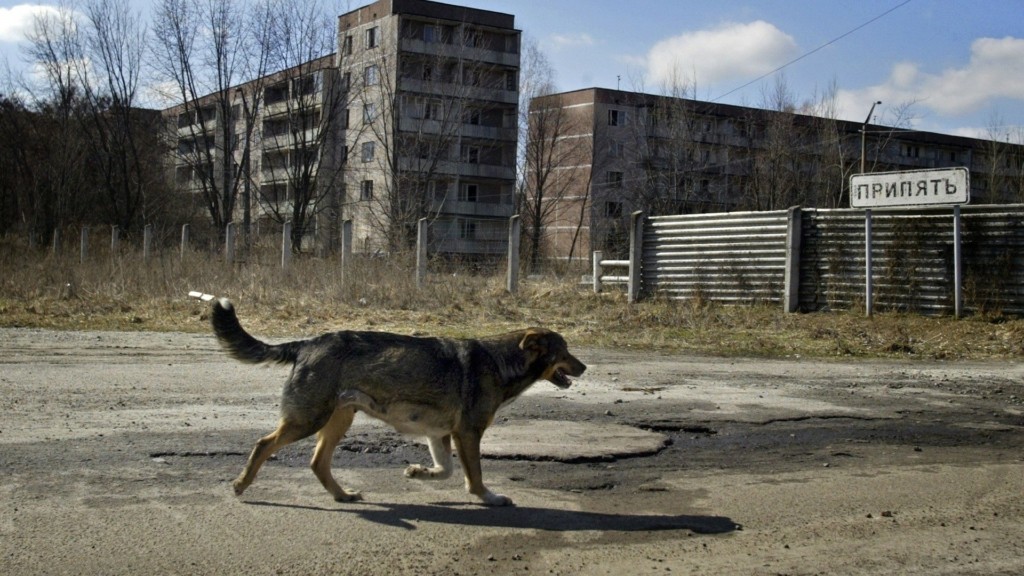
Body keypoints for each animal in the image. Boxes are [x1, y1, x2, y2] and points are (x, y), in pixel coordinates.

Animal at [207, 295, 585, 502]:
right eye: (565, 350)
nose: (584, 367)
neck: (500, 360)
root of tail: (308, 342)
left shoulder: (439, 434)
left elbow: (445, 470)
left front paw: (419, 472)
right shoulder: (467, 434)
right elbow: (474, 476)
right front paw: (488, 498)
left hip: (338, 420)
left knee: (317, 463)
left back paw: (342, 495)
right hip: (307, 420)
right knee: (263, 444)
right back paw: (241, 484)